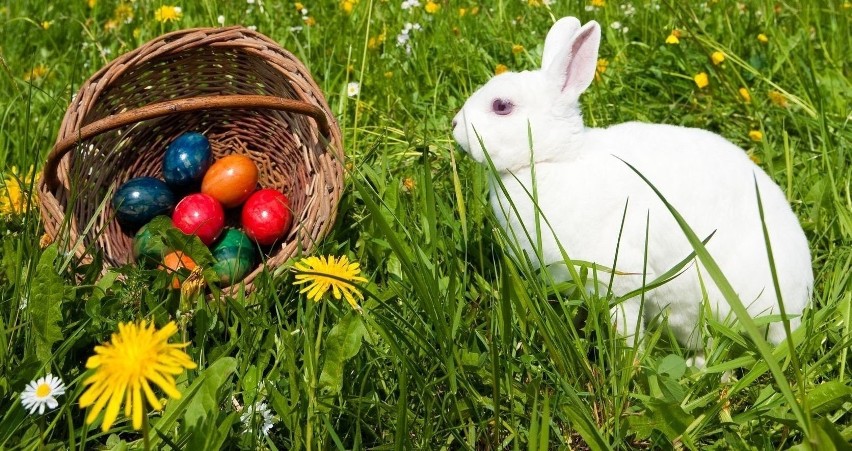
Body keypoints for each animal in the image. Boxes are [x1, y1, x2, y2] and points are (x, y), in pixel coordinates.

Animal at [452, 16, 812, 356]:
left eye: (501, 106)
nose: (455, 125)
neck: (556, 160)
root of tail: (801, 297)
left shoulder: (619, 278)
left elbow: (626, 329)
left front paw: (631, 362)